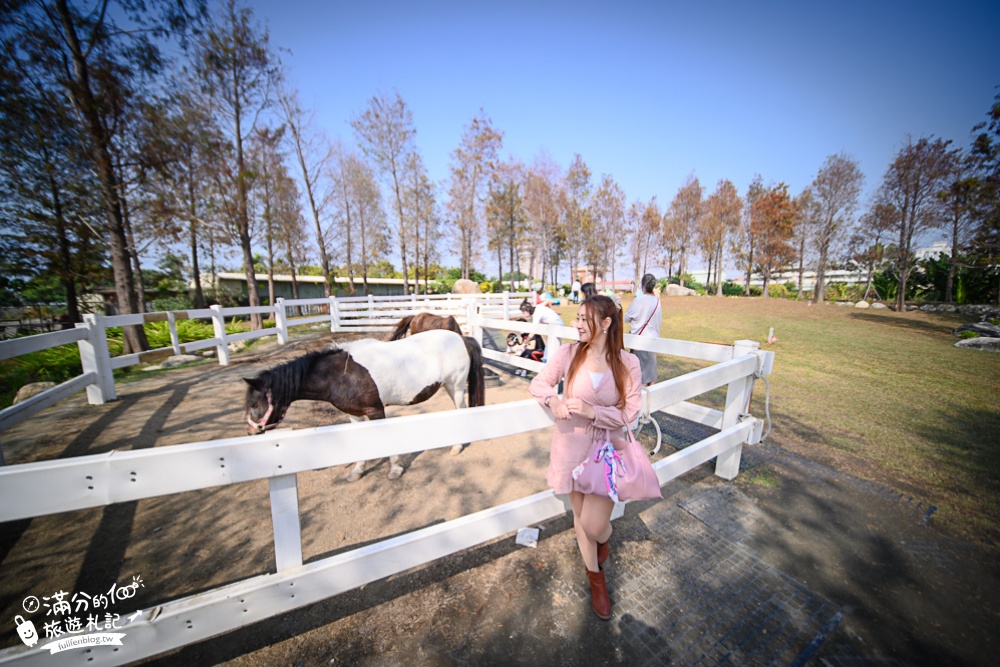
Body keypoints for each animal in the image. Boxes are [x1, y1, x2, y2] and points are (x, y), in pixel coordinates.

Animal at [242, 332, 484, 482]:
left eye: (254, 404)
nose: (251, 431)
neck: (341, 375)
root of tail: (461, 337)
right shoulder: (355, 414)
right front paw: (357, 471)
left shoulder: (375, 411)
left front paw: (395, 470)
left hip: (455, 387)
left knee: (461, 410)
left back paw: (456, 447)